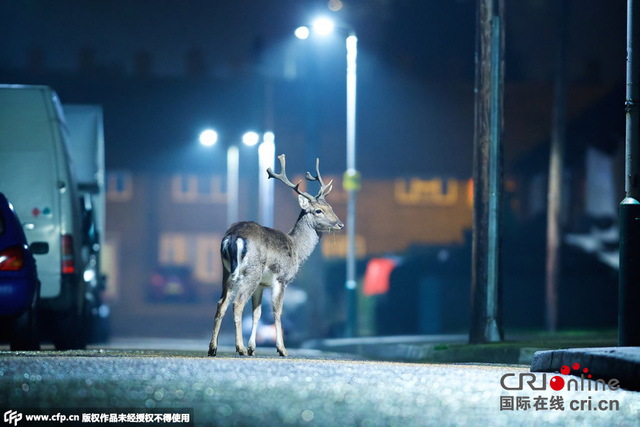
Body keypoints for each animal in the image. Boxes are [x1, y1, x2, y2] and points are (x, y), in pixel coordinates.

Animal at [208, 154, 342, 358]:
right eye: (318, 210)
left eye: (331, 206)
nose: (340, 224)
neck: (297, 249)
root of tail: (232, 237)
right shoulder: (282, 279)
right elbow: (277, 312)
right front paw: (282, 349)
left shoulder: (262, 284)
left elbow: (257, 314)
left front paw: (253, 348)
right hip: (251, 272)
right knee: (237, 304)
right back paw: (239, 348)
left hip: (227, 272)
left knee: (221, 303)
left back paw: (213, 348)